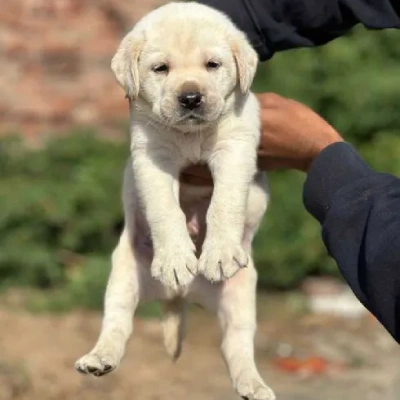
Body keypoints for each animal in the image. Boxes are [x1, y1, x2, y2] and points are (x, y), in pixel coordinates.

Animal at [76, 3, 276, 400]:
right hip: (123, 274)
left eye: (212, 65)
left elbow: (225, 201)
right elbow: (164, 210)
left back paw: (253, 385)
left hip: (241, 295)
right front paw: (174, 259)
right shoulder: (153, 156)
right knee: (117, 322)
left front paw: (217, 253)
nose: (190, 98)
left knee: (236, 345)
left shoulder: (235, 145)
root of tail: (181, 294)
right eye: (161, 68)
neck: (190, 136)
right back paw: (99, 358)